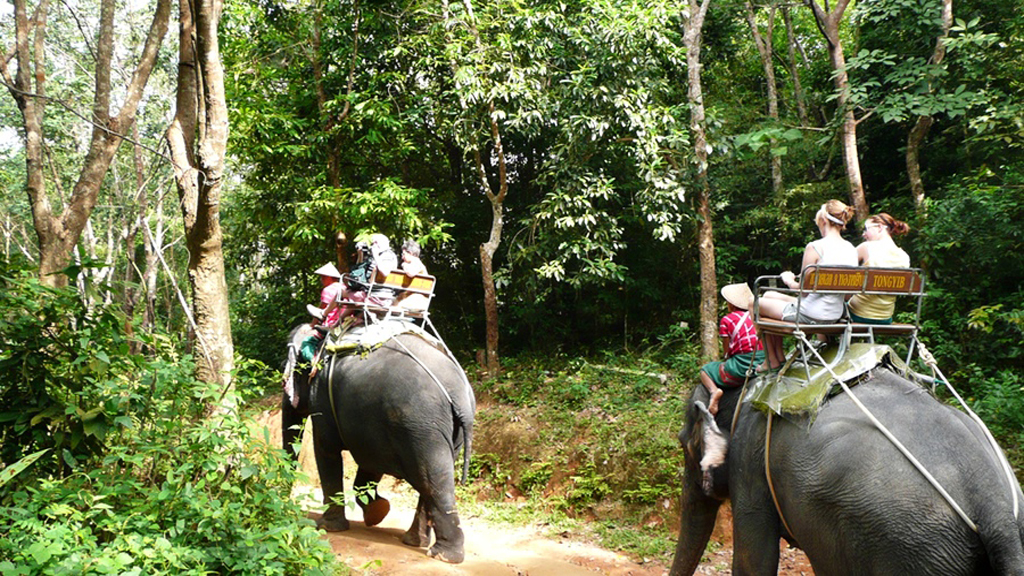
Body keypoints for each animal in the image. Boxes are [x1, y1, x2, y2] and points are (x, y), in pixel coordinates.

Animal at [278, 323, 473, 561]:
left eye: (284, 370)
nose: (285, 503)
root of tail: (460, 396)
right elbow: (369, 462)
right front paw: (378, 512)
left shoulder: (322, 399)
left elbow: (326, 449)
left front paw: (328, 526)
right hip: (442, 431)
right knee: (432, 479)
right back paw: (416, 542)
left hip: (422, 425)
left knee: (433, 479)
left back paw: (443, 555)